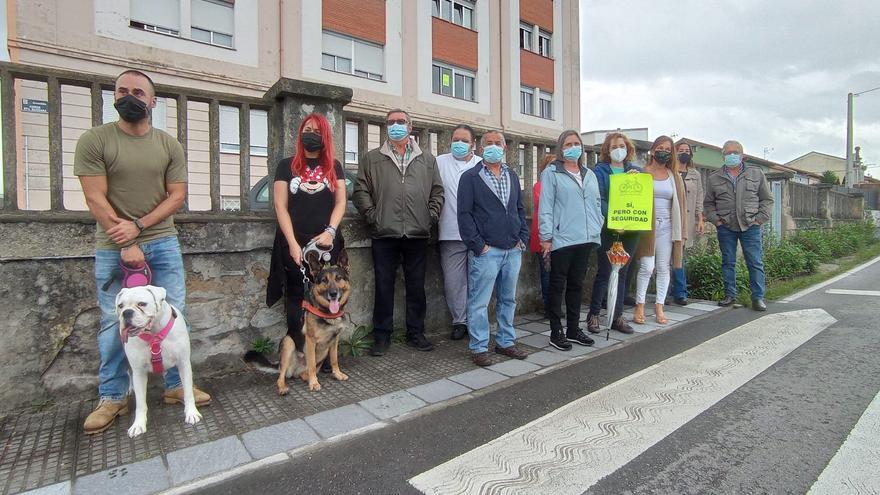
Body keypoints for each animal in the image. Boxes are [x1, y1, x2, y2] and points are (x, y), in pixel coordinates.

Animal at [114, 286, 200, 438]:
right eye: (120, 306)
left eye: (142, 304)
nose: (126, 312)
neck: (154, 332)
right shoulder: (139, 372)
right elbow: (140, 403)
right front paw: (138, 424)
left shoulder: (183, 363)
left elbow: (188, 392)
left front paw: (191, 413)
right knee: (128, 372)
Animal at [246, 250, 352, 394]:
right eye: (324, 280)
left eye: (338, 278)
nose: (333, 294)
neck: (328, 314)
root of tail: (294, 370)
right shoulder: (311, 341)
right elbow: (311, 363)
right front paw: (313, 383)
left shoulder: (334, 339)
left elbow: (335, 359)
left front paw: (337, 373)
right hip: (288, 343)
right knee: (282, 376)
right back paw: (283, 387)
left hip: (323, 352)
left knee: (303, 374)